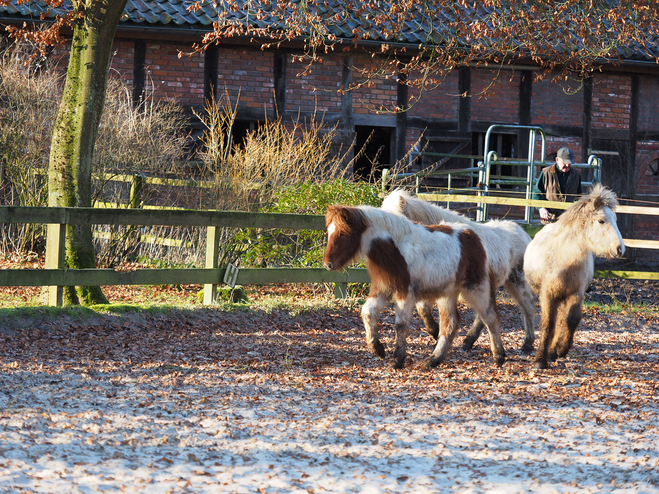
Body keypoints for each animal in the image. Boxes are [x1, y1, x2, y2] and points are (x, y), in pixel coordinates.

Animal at [324, 203, 506, 368]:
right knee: (450, 324)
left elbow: (401, 324)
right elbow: (367, 312)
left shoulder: (405, 293)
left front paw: (397, 360)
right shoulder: (382, 288)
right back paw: (434, 360)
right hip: (447, 293)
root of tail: (473, 235)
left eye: (342, 234)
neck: (394, 248)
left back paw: (499, 357)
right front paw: (378, 349)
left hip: (475, 288)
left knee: (489, 317)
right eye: (329, 232)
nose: (327, 264)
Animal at [382, 189, 536, 356]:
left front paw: (438, 336)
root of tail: (524, 234)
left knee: (527, 307)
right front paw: (436, 334)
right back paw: (468, 341)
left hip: (516, 280)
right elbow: (423, 309)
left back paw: (527, 344)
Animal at [524, 185, 628, 370]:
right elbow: (548, 324)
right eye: (601, 221)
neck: (564, 260)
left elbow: (571, 320)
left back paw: (553, 350)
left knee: (561, 320)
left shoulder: (576, 294)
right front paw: (539, 360)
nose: (619, 249)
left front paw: (560, 350)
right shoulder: (548, 295)